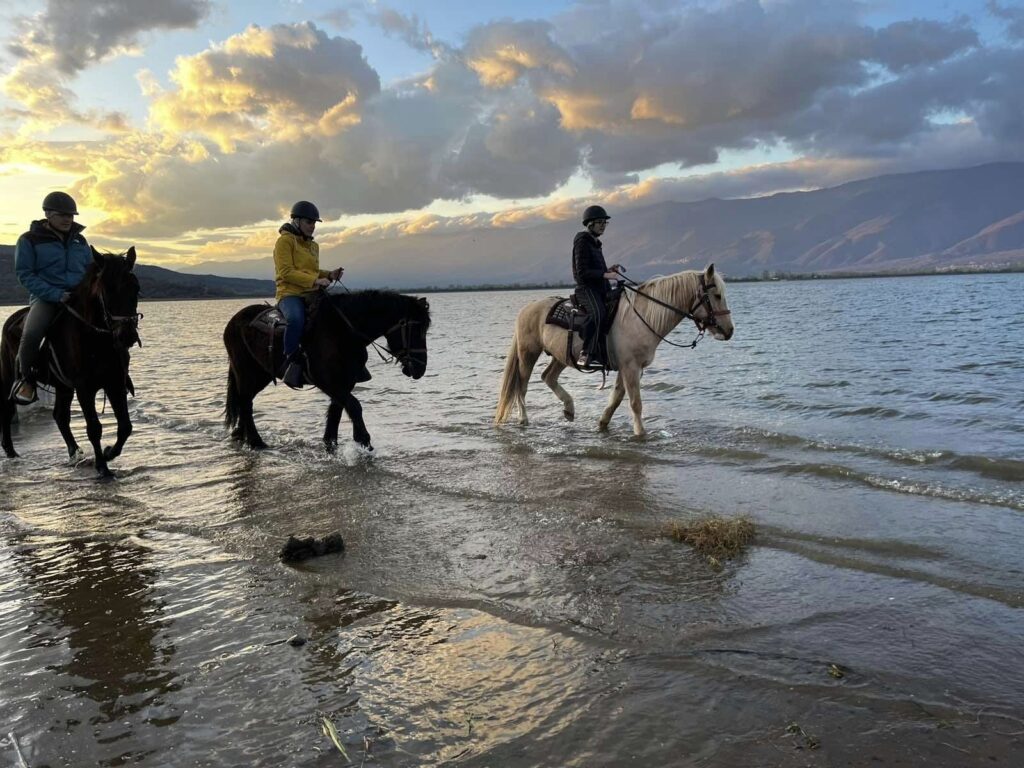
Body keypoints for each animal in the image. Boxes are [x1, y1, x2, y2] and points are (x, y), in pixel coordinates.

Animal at [0, 246, 142, 479]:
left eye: (135, 288)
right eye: (106, 290)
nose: (127, 335)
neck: (96, 338)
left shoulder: (114, 383)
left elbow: (125, 426)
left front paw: (109, 453)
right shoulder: (84, 388)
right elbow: (94, 428)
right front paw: (102, 467)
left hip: (63, 386)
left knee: (60, 416)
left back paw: (74, 452)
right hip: (10, 376)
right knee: (7, 408)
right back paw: (11, 452)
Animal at [222, 290, 430, 454]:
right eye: (415, 329)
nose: (420, 368)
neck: (343, 332)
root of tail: (233, 321)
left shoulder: (345, 382)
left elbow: (336, 411)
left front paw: (331, 444)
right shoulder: (327, 381)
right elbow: (354, 406)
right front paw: (364, 441)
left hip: (260, 374)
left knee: (244, 400)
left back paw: (240, 434)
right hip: (246, 371)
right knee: (245, 401)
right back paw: (256, 442)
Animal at [493, 264, 729, 436]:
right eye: (716, 295)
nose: (729, 330)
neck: (641, 316)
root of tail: (526, 308)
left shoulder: (630, 367)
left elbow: (616, 398)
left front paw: (602, 423)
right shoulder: (630, 366)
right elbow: (635, 403)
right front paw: (640, 433)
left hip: (562, 356)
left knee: (548, 377)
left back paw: (569, 409)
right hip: (528, 353)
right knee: (522, 386)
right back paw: (524, 418)